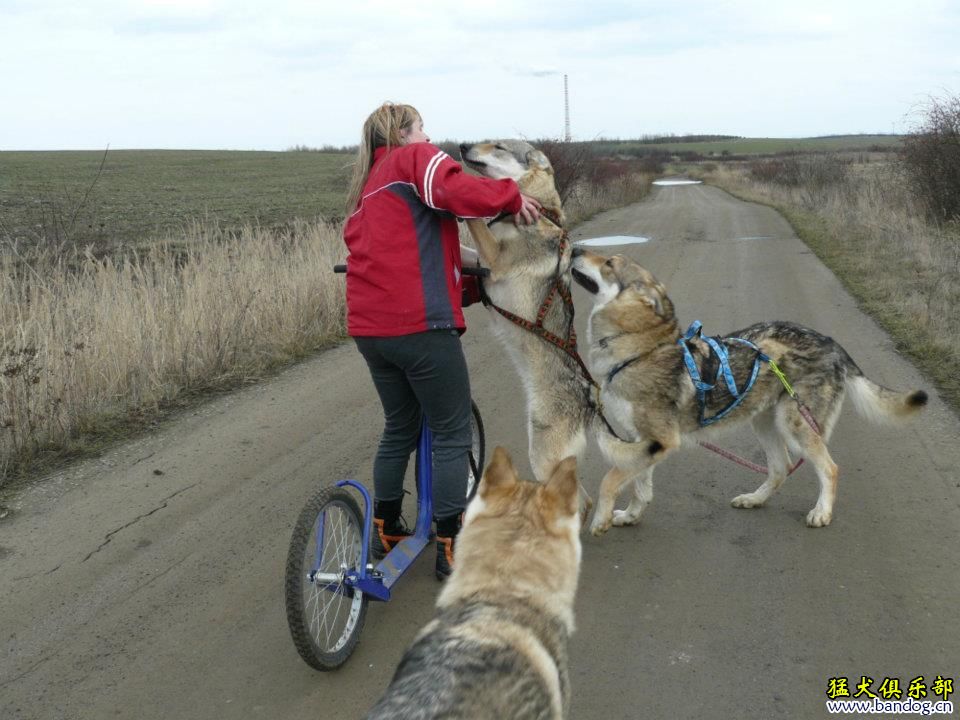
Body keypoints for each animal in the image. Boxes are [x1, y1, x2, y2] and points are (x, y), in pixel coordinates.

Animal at [568, 248, 928, 536]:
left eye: (609, 262)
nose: (575, 248)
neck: (636, 351)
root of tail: (834, 344)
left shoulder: (659, 441)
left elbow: (610, 479)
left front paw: (600, 519)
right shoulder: (642, 443)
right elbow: (639, 488)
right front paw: (630, 516)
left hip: (795, 425)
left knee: (830, 468)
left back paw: (821, 513)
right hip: (765, 423)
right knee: (780, 468)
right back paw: (754, 499)